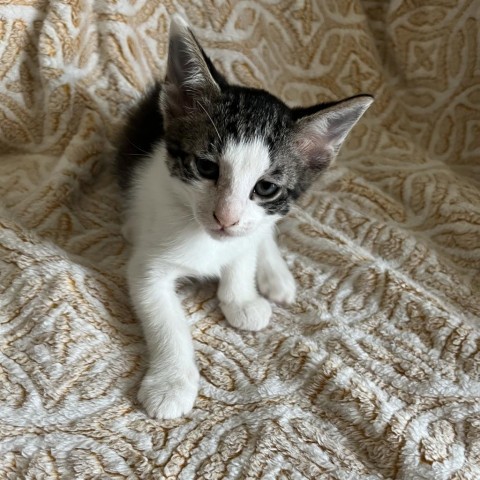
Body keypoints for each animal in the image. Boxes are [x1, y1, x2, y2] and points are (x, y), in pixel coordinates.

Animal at [117, 15, 376, 420]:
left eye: (265, 188)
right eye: (206, 167)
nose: (225, 218)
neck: (204, 239)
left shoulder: (251, 226)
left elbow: (243, 255)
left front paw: (241, 297)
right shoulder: (147, 269)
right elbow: (166, 320)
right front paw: (171, 383)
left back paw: (275, 275)